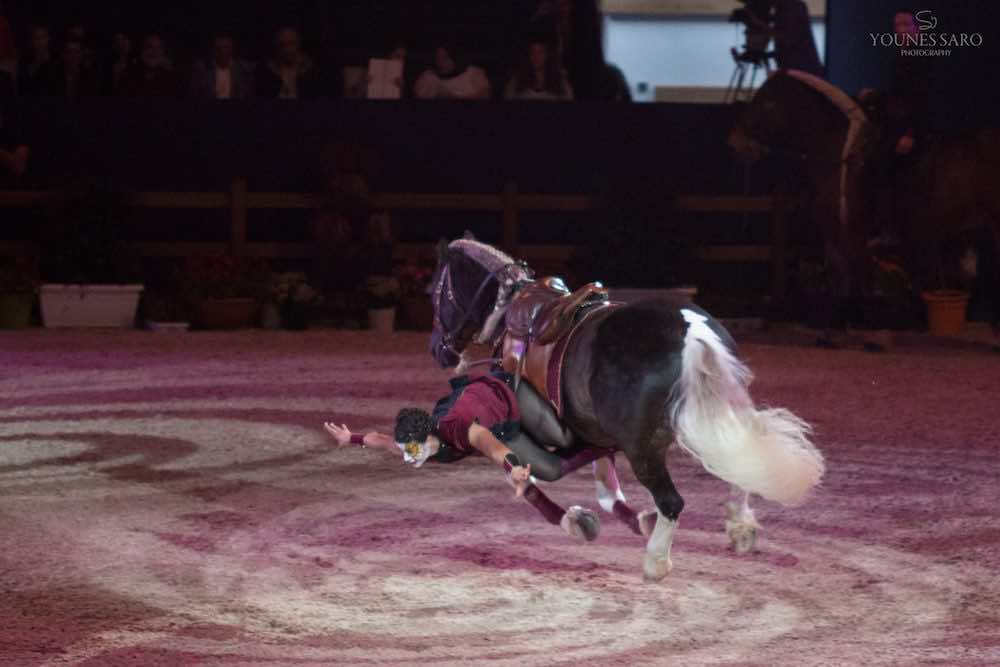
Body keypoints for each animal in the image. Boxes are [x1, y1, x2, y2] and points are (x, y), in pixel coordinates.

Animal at [428, 237, 825, 581]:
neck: (508, 314)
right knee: (739, 468)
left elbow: (529, 476)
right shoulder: (596, 436)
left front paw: (575, 521)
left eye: (434, 293)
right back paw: (739, 525)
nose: (439, 350)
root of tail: (692, 332)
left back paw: (656, 561)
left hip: (643, 449)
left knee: (672, 501)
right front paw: (633, 520)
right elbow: (606, 494)